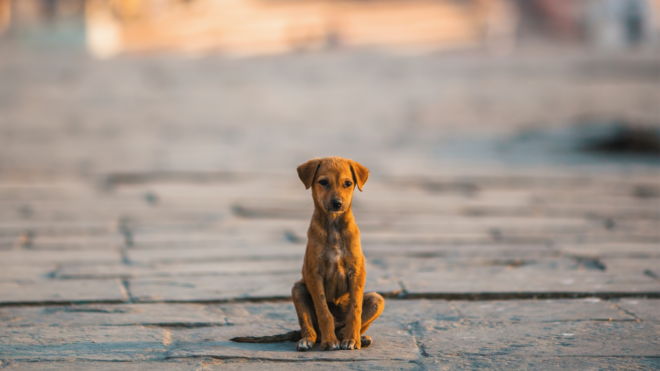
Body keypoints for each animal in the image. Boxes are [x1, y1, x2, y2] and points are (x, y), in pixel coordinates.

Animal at [232, 157, 386, 352]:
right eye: (323, 182)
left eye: (348, 183)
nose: (337, 203)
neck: (334, 226)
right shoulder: (314, 273)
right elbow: (323, 311)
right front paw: (330, 342)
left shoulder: (357, 272)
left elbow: (355, 311)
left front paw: (352, 339)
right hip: (298, 290)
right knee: (311, 330)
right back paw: (309, 340)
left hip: (377, 299)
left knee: (346, 326)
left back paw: (357, 337)